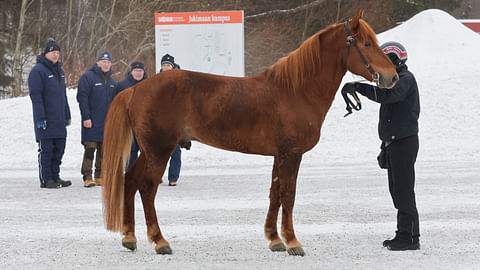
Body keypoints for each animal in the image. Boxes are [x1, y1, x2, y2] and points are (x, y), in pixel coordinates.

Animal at [101, 8, 398, 256]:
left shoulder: (280, 155)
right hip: (159, 151)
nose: (392, 76)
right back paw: (160, 241)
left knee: (129, 181)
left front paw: (275, 239)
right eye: (367, 43)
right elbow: (288, 195)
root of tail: (136, 88)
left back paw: (129, 238)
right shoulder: (292, 154)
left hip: (150, 151)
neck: (296, 91)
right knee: (147, 188)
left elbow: (275, 194)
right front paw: (293, 242)